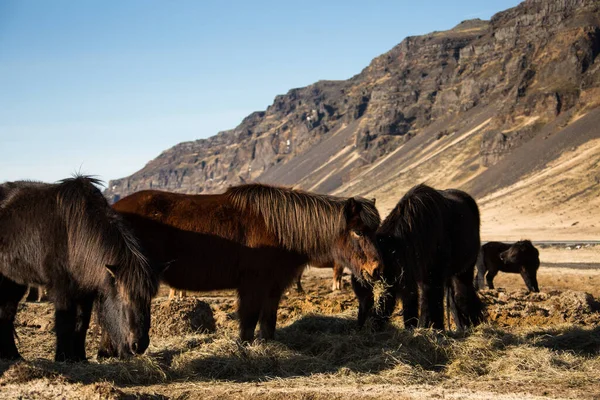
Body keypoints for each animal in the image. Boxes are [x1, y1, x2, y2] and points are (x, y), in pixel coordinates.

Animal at [0, 177, 161, 360]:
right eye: (124, 298)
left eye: (148, 300)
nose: (139, 345)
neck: (76, 236)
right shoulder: (62, 290)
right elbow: (65, 323)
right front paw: (62, 357)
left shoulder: (85, 293)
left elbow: (81, 324)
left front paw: (79, 358)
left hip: (14, 282)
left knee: (6, 313)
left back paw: (12, 355)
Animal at [102, 183, 380, 348]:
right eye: (357, 231)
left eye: (374, 230)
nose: (375, 269)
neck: (280, 228)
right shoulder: (252, 286)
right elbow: (248, 322)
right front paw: (244, 349)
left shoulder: (274, 287)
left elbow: (268, 322)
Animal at [354, 184, 486, 332]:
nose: (364, 327)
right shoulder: (413, 276)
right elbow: (419, 302)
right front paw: (420, 328)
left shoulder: (434, 275)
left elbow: (433, 302)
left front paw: (436, 329)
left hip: (464, 270)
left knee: (462, 294)